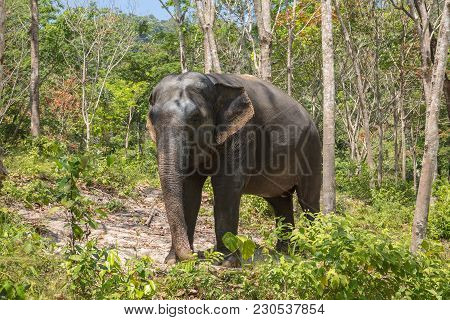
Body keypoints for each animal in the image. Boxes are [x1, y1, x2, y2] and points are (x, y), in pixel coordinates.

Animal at [146, 72, 322, 264]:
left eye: (195, 117)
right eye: (152, 117)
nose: (198, 255)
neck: (212, 80)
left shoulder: (242, 133)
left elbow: (227, 186)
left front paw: (226, 262)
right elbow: (189, 190)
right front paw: (172, 261)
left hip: (312, 150)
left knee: (309, 202)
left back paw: (313, 249)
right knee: (280, 203)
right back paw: (284, 252)